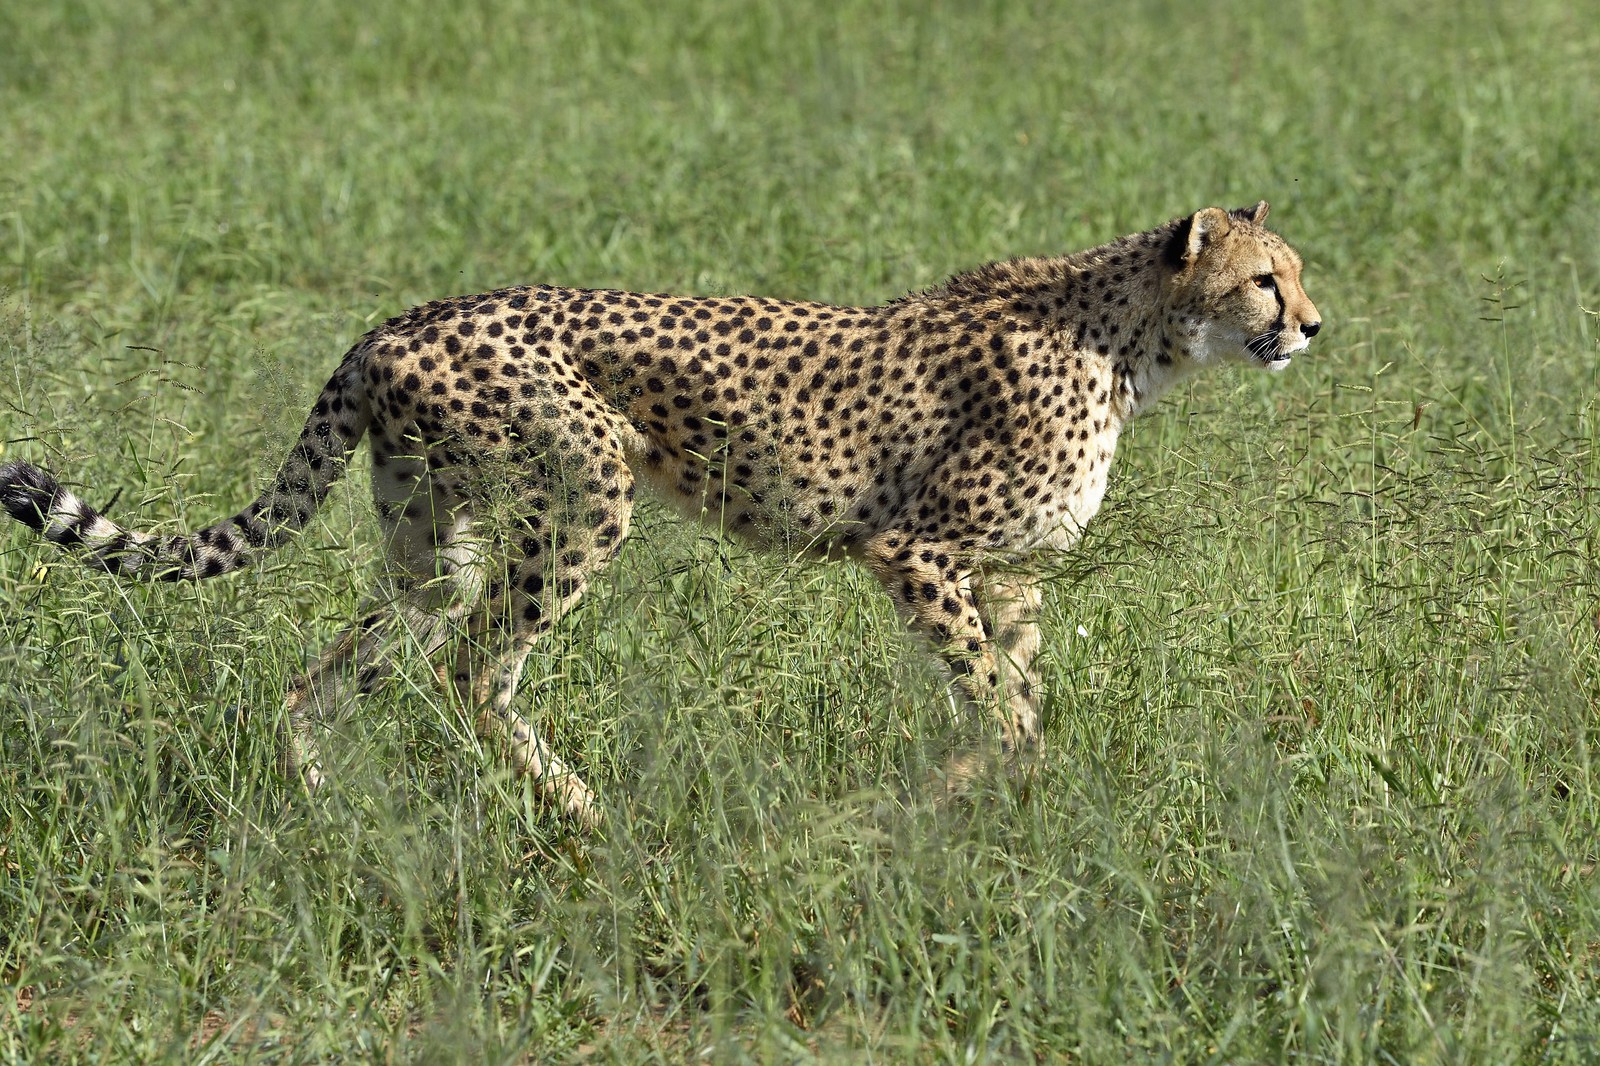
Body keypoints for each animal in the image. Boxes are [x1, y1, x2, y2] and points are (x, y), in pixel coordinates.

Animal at [0, 201, 1320, 828]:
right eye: (1265, 277)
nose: (1312, 326)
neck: (1133, 339)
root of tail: (403, 316)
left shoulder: (1012, 571)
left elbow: (1026, 695)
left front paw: (1017, 807)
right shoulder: (914, 548)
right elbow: (997, 702)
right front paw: (931, 802)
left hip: (432, 542)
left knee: (337, 670)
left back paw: (324, 812)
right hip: (587, 495)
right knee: (477, 668)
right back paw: (584, 812)